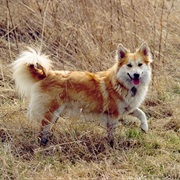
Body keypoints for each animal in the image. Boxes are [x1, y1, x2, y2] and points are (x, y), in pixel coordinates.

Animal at [11, 43, 152, 146]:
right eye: (129, 65)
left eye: (140, 65)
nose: (136, 75)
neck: (122, 83)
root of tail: (46, 74)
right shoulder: (113, 114)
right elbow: (112, 132)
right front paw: (112, 144)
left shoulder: (128, 107)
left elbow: (141, 113)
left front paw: (144, 127)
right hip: (51, 112)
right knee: (43, 128)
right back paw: (43, 144)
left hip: (55, 114)